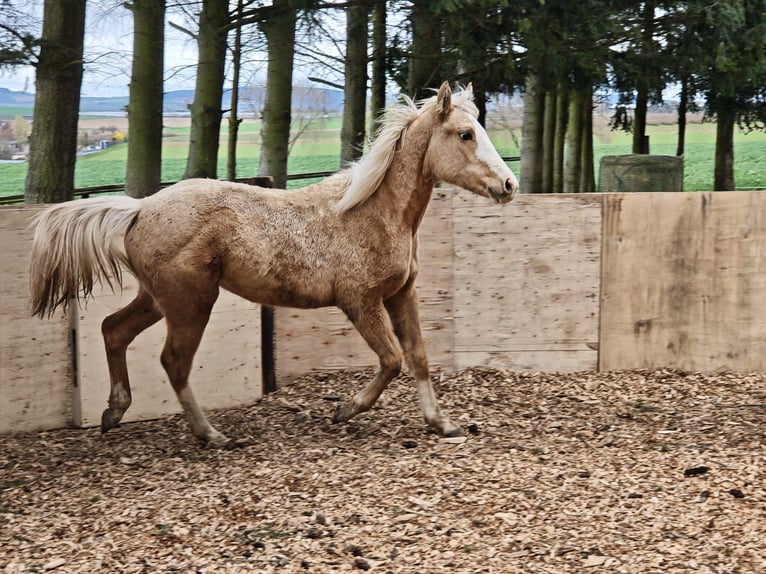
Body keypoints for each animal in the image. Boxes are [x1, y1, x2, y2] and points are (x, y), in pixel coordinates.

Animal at [29, 82, 519, 446]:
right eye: (466, 134)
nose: (509, 185)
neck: (374, 212)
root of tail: (140, 208)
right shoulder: (360, 302)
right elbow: (392, 359)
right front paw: (345, 410)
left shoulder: (401, 293)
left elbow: (418, 356)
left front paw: (443, 423)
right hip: (191, 302)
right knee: (174, 361)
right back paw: (212, 435)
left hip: (156, 298)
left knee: (114, 330)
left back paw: (114, 412)